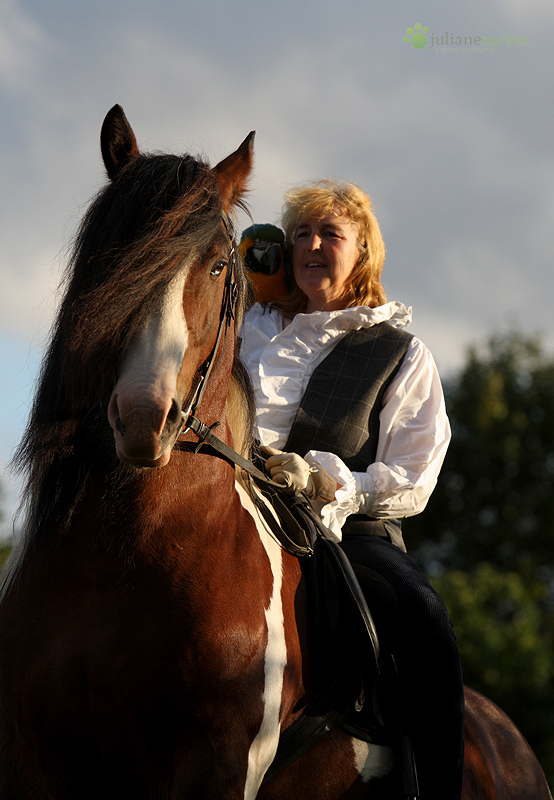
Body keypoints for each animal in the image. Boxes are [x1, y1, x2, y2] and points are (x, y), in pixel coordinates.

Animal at [0, 106, 548, 800]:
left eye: (215, 266)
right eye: (110, 255)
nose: (144, 416)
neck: (117, 565)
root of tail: (509, 740)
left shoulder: (218, 763)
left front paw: (303, 473)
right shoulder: (32, 761)